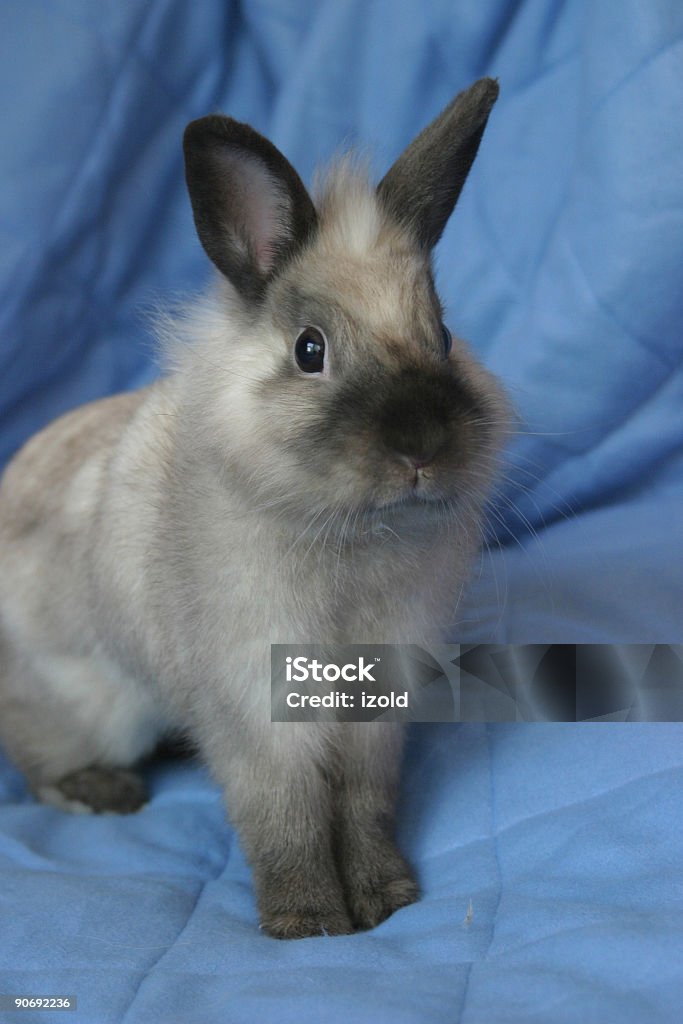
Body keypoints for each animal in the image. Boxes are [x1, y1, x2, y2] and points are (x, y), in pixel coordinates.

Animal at [0, 79, 507, 937]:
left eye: (442, 336)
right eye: (310, 349)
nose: (421, 448)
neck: (350, 539)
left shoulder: (375, 710)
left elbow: (363, 805)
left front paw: (384, 898)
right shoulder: (257, 709)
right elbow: (286, 816)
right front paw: (309, 921)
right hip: (85, 703)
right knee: (37, 762)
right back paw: (107, 793)